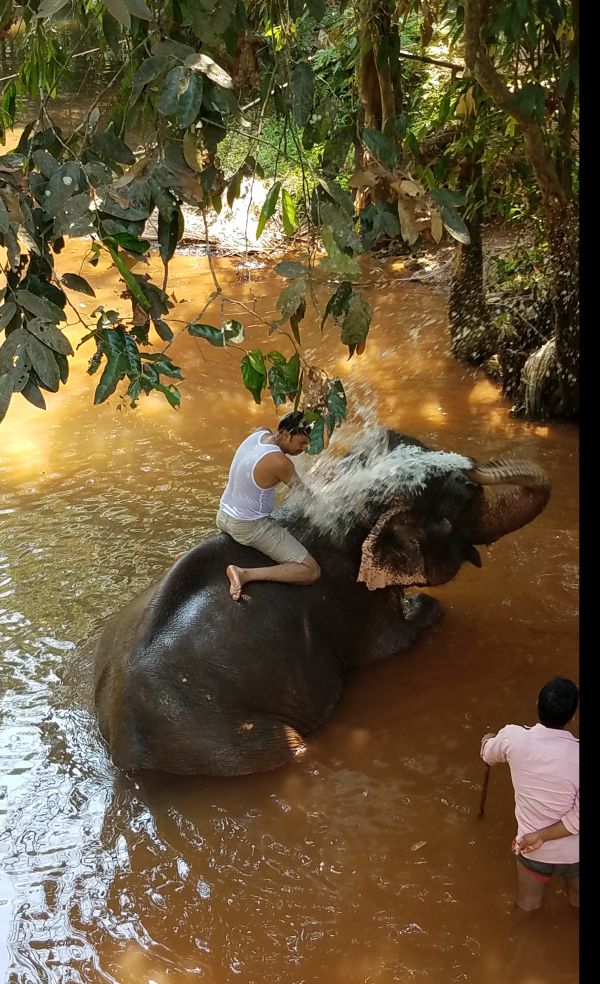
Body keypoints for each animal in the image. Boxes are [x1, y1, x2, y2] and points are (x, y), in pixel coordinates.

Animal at [94, 429, 550, 776]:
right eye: (467, 496)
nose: (466, 464)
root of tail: (119, 745)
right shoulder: (355, 601)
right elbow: (393, 641)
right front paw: (426, 608)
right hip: (224, 742)